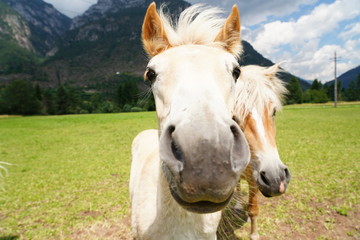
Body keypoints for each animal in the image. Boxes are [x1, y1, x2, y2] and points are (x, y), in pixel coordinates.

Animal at [217, 64, 290, 240]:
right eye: (233, 117)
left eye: (273, 112)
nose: (276, 178)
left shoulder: (255, 179)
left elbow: (253, 210)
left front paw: (254, 234)